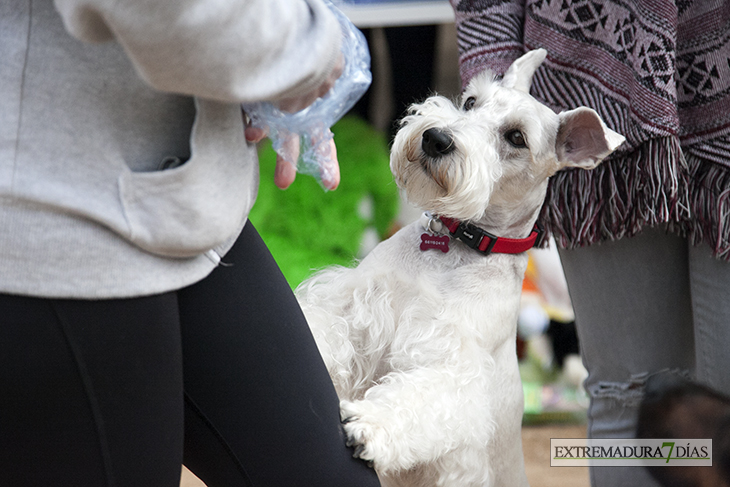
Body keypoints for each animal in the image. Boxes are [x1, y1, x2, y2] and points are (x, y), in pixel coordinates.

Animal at [294, 50, 620, 487]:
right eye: (470, 101)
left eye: (516, 137)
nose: (436, 139)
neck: (456, 245)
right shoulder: (353, 307)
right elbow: (322, 330)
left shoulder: (452, 365)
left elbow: (418, 398)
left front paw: (368, 425)